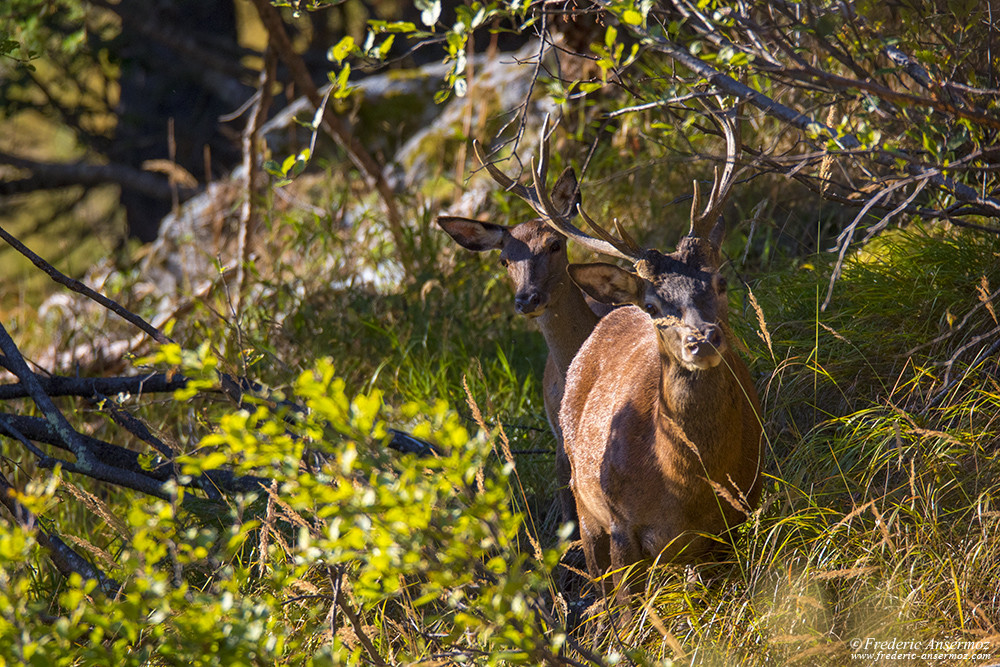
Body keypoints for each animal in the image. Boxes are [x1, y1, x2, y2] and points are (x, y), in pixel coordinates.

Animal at [476, 112, 764, 596]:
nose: (702, 340)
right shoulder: (620, 525)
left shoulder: (739, 513)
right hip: (583, 497)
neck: (686, 483)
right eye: (653, 306)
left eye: (720, 282)